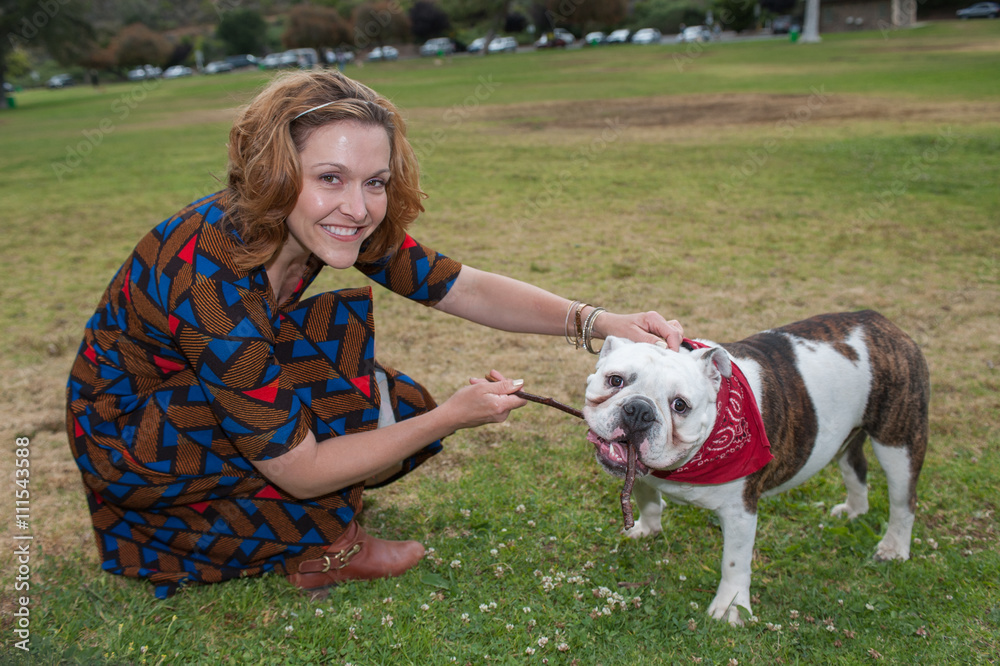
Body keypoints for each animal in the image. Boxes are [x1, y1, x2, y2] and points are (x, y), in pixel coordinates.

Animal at [584, 310, 928, 624]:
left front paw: (730, 608)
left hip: (898, 442)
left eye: (680, 405)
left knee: (904, 500)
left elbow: (734, 563)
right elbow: (647, 498)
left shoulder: (741, 512)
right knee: (854, 465)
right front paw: (647, 529)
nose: (639, 410)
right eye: (615, 380)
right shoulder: (638, 472)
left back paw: (893, 547)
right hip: (846, 436)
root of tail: (879, 321)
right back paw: (854, 510)